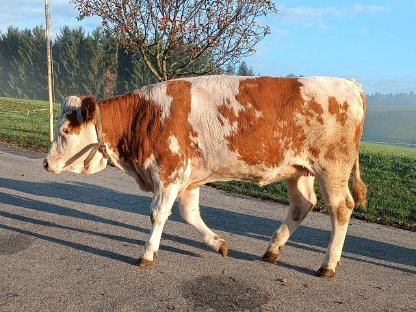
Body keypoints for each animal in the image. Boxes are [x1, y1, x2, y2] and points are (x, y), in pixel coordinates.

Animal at [43, 75, 368, 278]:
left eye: (65, 131)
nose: (45, 163)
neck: (143, 116)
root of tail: (349, 84)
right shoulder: (188, 177)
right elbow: (189, 215)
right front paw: (217, 243)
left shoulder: (169, 172)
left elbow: (158, 214)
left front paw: (147, 253)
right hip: (298, 170)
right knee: (303, 205)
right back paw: (272, 250)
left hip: (332, 167)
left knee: (341, 209)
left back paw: (328, 264)